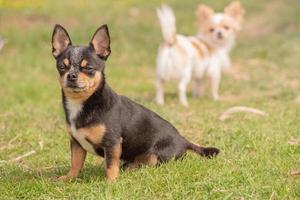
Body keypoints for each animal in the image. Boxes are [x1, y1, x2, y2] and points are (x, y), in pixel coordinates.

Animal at [51, 24, 219, 182]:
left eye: (88, 68)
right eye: (62, 67)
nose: (71, 75)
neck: (83, 102)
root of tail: (183, 140)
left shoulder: (112, 143)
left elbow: (110, 165)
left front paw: (110, 182)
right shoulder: (76, 143)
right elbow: (76, 163)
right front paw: (69, 178)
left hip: (155, 156)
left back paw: (132, 168)